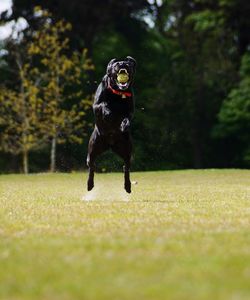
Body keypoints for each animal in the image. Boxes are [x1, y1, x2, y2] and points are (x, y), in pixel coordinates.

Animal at [86, 55, 137, 192]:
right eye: (116, 65)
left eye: (128, 64)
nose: (123, 64)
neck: (118, 93)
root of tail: (110, 144)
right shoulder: (96, 105)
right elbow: (103, 105)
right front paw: (109, 113)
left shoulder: (130, 110)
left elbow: (127, 117)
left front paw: (124, 124)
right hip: (93, 147)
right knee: (91, 165)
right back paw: (90, 184)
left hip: (127, 149)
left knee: (126, 167)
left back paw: (128, 186)